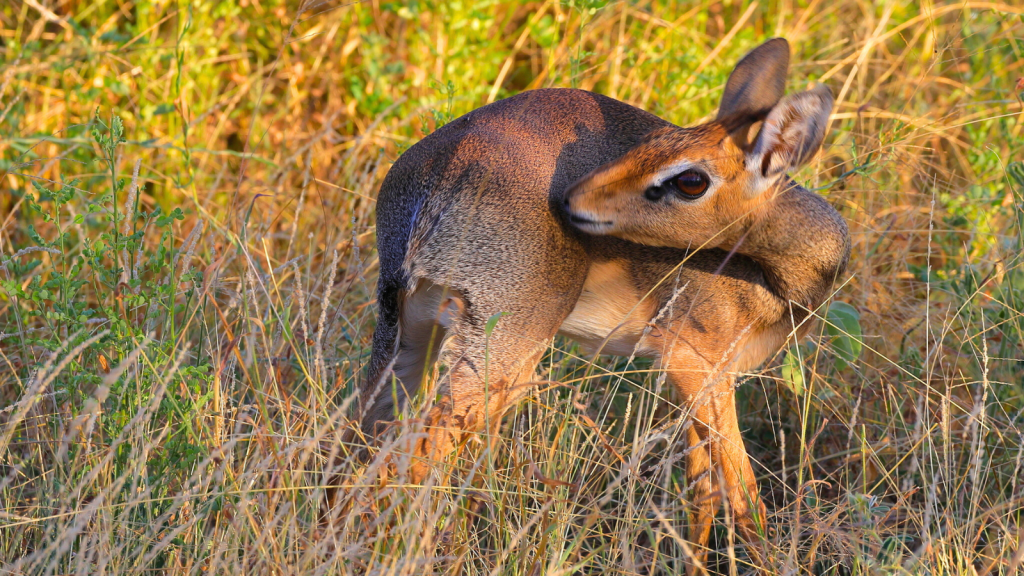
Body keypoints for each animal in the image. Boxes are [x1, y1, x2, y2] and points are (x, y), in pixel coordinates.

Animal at [360, 38, 847, 561]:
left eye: (689, 177)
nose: (572, 200)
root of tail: (445, 169)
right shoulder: (697, 366)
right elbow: (743, 496)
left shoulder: (701, 382)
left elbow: (702, 491)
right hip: (502, 351)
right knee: (418, 454)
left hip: (406, 328)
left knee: (366, 431)